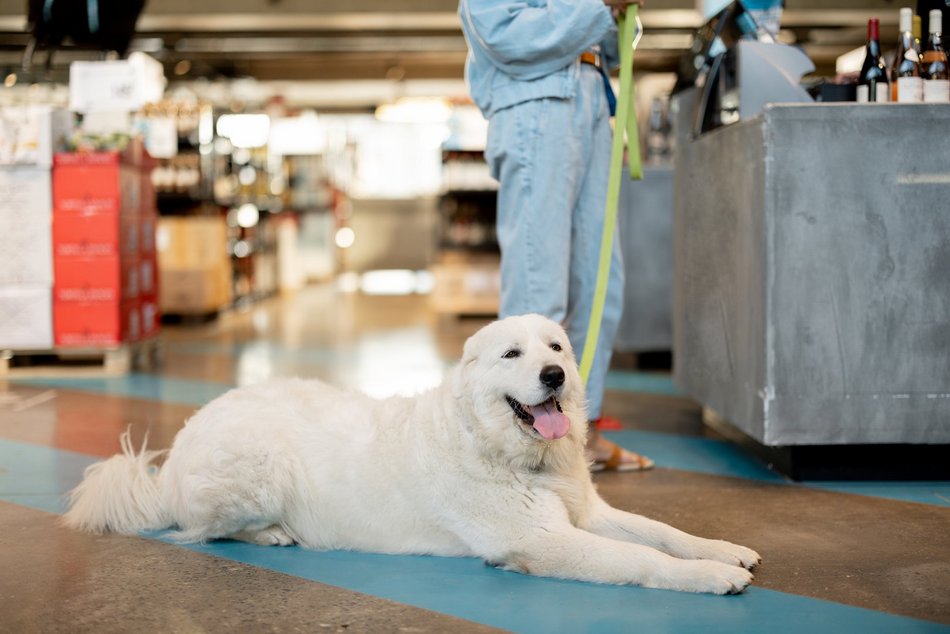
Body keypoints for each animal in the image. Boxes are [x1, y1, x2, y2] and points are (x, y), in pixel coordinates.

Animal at [63, 314, 764, 592]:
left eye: (557, 347)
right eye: (512, 354)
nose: (555, 376)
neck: (504, 451)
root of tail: (173, 457)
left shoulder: (586, 514)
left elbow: (663, 532)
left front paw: (723, 550)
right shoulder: (547, 541)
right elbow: (641, 560)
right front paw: (711, 578)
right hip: (257, 470)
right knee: (204, 530)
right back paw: (274, 534)